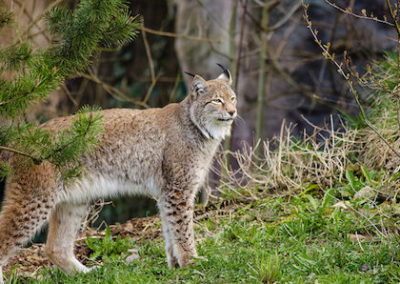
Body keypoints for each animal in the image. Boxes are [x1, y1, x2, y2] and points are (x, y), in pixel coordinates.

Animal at [0, 65, 238, 280]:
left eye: (233, 98)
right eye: (217, 100)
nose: (233, 112)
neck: (200, 129)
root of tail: (25, 136)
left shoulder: (167, 192)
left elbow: (169, 229)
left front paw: (175, 265)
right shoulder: (178, 189)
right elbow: (182, 229)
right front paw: (191, 261)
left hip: (74, 199)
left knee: (54, 248)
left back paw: (89, 274)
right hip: (36, 198)